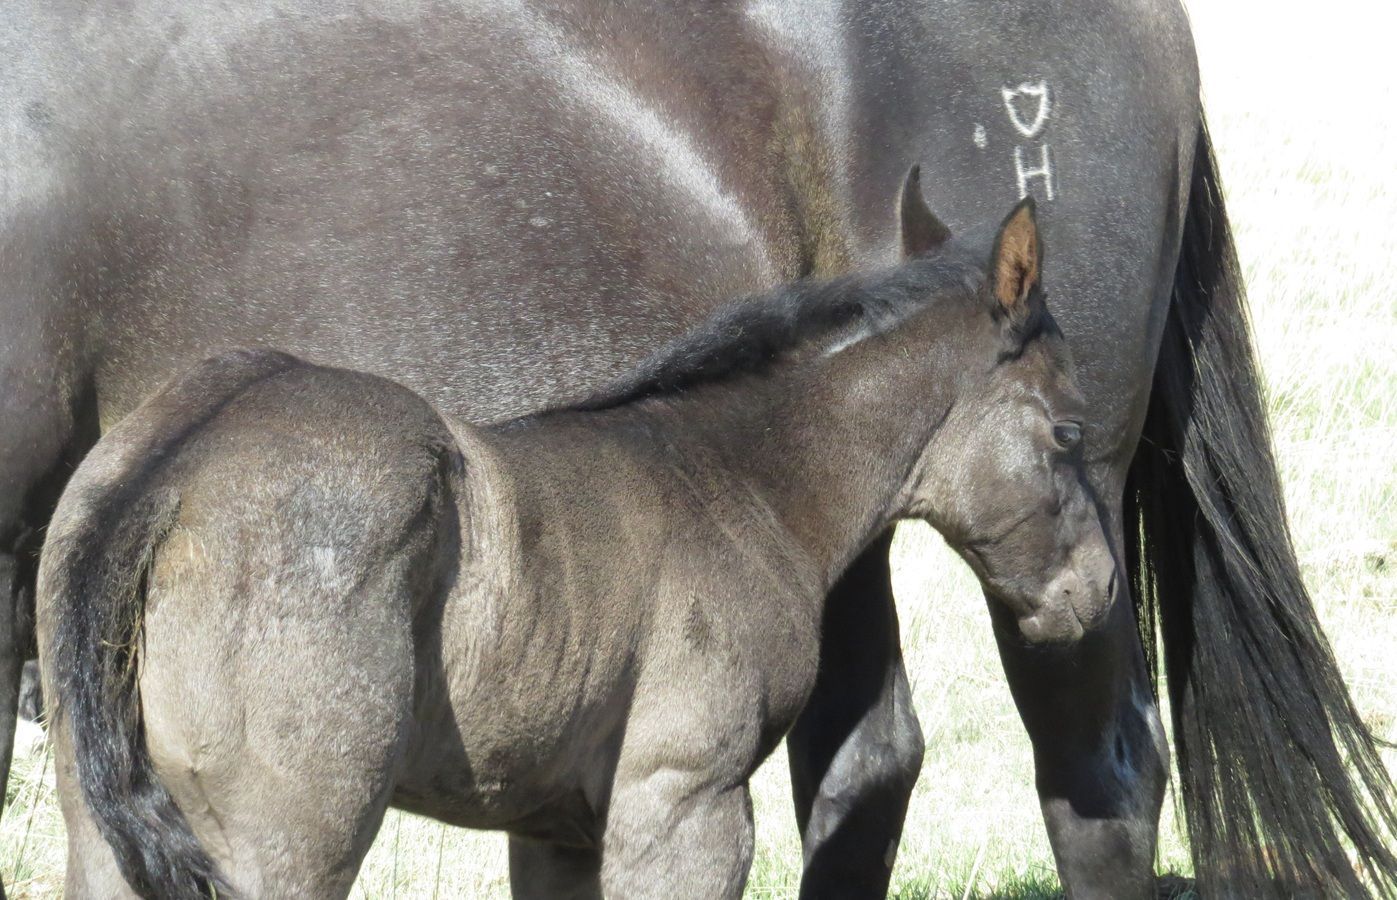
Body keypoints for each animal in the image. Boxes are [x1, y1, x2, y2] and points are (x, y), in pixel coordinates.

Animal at [38, 196, 1102, 899]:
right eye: (1067, 430)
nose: (1094, 594)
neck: (738, 482)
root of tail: (168, 475)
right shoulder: (682, 807)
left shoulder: (558, 827)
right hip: (282, 846)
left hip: (109, 839)